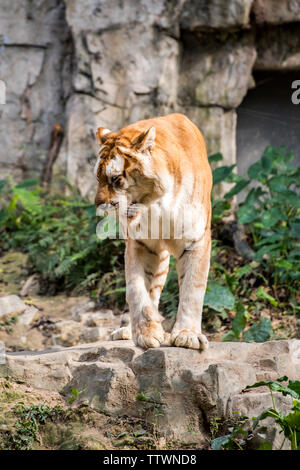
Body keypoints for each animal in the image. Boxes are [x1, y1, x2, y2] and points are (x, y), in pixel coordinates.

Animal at [92, 113, 212, 348]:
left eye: (116, 179)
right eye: (98, 178)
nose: (98, 204)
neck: (158, 204)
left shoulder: (196, 239)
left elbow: (192, 288)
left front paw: (187, 335)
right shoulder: (140, 244)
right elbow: (137, 289)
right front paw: (146, 333)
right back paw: (126, 330)